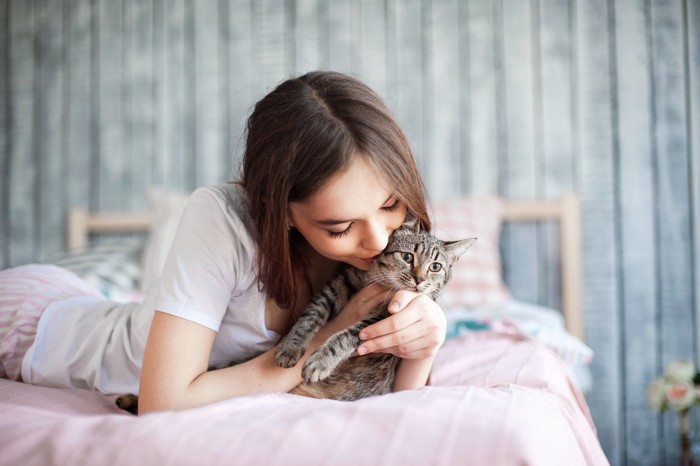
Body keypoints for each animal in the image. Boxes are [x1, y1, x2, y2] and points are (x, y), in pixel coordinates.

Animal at [274, 221, 476, 400]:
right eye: (407, 257)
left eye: (435, 267)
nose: (419, 279)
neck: (385, 284)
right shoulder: (340, 284)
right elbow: (312, 313)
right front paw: (291, 347)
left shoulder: (388, 319)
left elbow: (346, 336)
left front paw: (321, 361)